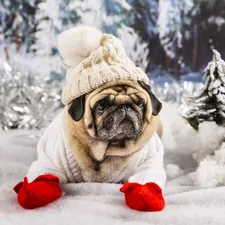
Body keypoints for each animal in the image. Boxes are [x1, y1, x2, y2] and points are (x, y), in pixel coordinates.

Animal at [13, 25, 165, 211]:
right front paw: (35, 191)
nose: (125, 106)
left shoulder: (149, 161)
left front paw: (145, 195)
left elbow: (146, 178)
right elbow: (44, 173)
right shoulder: (51, 161)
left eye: (140, 104)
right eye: (101, 106)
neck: (108, 149)